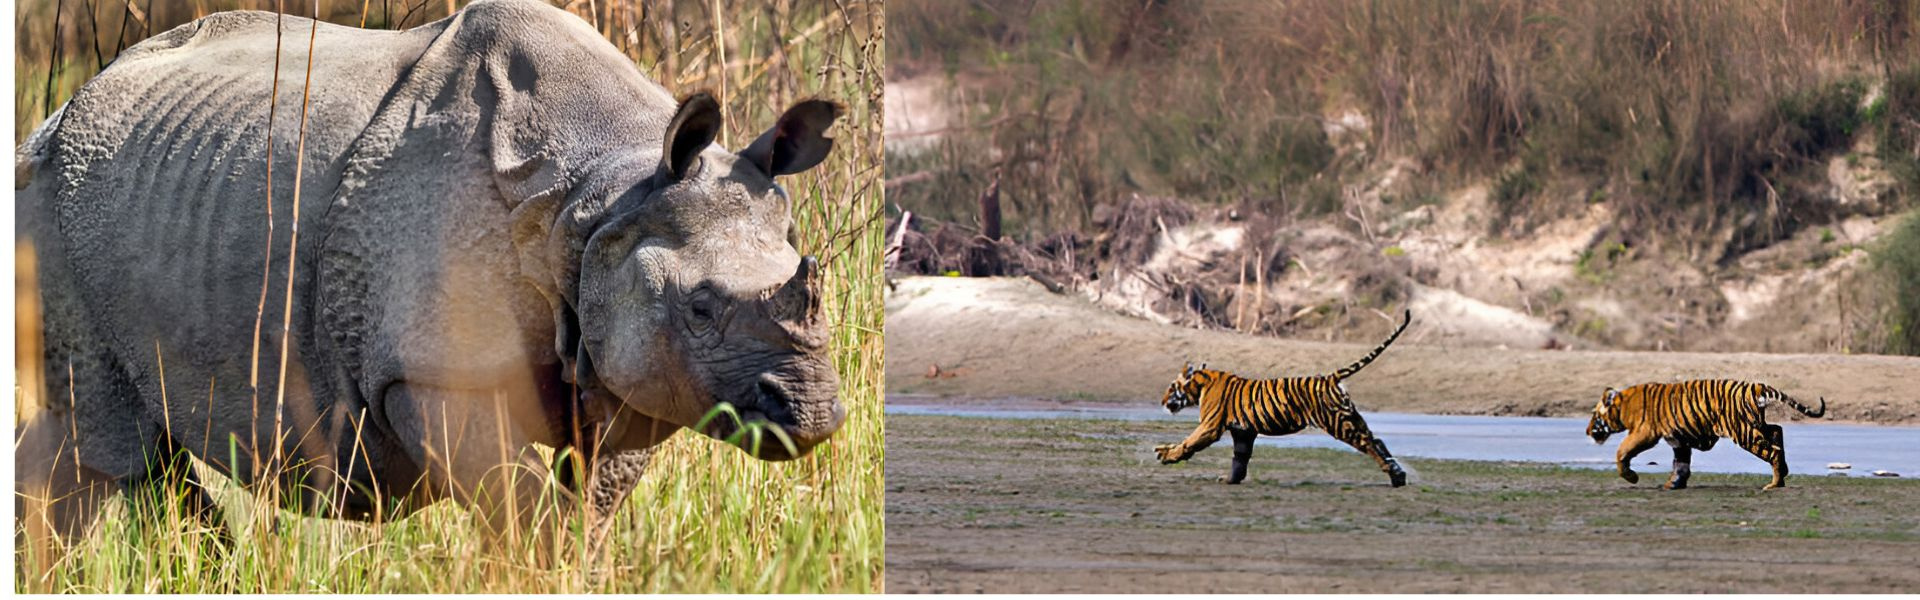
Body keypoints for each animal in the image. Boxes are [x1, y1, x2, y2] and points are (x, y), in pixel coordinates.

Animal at [1152, 309, 1413, 488]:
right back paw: (1397, 475)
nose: (1162, 402)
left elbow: (1189, 442)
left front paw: (1167, 455)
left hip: (1337, 423)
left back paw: (1392, 473)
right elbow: (1240, 459)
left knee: (1368, 443)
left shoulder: (1210, 426)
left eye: (1171, 387)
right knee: (1377, 440)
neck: (1201, 384)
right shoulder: (1243, 431)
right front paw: (1230, 479)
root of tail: (1330, 378)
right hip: (1349, 417)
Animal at [1589, 382, 1827, 490]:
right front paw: (1674, 483)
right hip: (1756, 425)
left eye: (1594, 415)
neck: (1622, 407)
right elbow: (1681, 463)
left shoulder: (1644, 432)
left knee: (1772, 451)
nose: (1587, 431)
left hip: (1744, 432)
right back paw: (1784, 473)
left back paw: (1775, 484)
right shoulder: (1679, 439)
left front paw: (1631, 477)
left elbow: (1622, 451)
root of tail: (1755, 385)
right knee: (1778, 430)